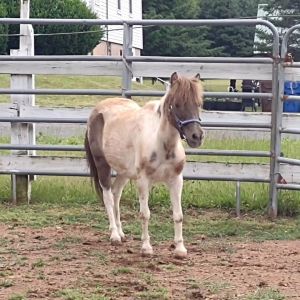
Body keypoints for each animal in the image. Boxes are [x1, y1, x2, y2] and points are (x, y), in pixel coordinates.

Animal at [85, 72, 205, 258]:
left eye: (198, 103)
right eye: (177, 104)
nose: (196, 137)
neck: (161, 143)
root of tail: (97, 111)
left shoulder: (176, 180)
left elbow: (178, 215)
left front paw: (180, 249)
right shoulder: (143, 181)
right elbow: (145, 214)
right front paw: (146, 248)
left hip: (124, 172)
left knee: (116, 194)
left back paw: (121, 233)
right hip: (102, 165)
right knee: (108, 197)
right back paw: (114, 235)